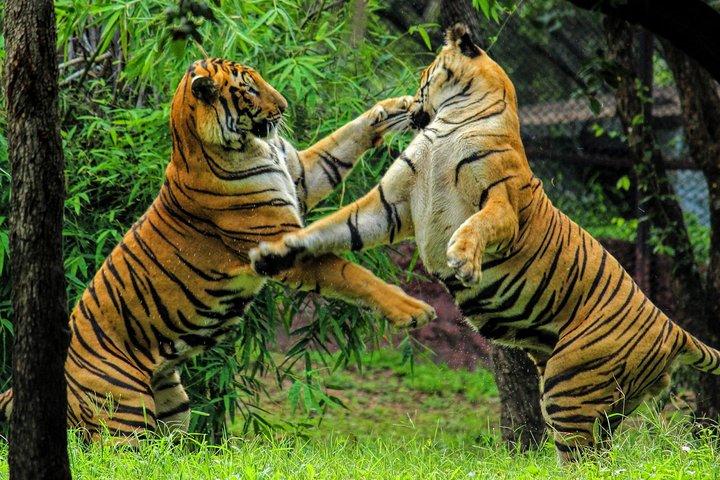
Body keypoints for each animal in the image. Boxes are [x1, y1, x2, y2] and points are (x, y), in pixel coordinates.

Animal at [0, 58, 435, 440]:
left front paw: (395, 107)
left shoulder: (301, 175)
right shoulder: (280, 245)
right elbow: (351, 274)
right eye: (249, 88)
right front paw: (413, 311)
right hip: (126, 412)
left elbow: (342, 140)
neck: (253, 146)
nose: (285, 106)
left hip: (172, 402)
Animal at [250, 25, 720, 460]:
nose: (409, 102)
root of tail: (672, 327)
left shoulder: (501, 201)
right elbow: (332, 226)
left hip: (571, 384)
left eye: (423, 76)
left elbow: (478, 225)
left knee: (583, 457)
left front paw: (462, 260)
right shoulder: (391, 204)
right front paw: (274, 251)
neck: (451, 120)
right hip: (595, 399)